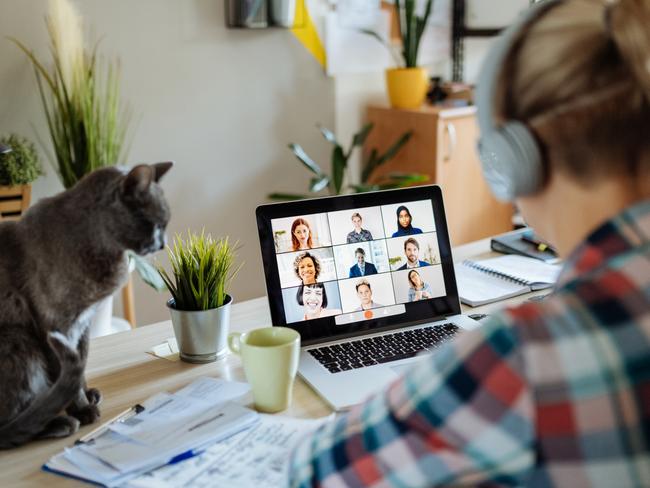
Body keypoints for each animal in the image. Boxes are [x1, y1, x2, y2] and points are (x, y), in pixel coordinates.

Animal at [0, 162, 171, 448]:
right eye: (156, 224)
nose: (163, 244)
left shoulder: (82, 324)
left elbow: (81, 364)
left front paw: (87, 394)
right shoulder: (55, 325)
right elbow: (68, 369)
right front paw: (82, 409)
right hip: (19, 340)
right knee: (7, 429)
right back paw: (59, 422)